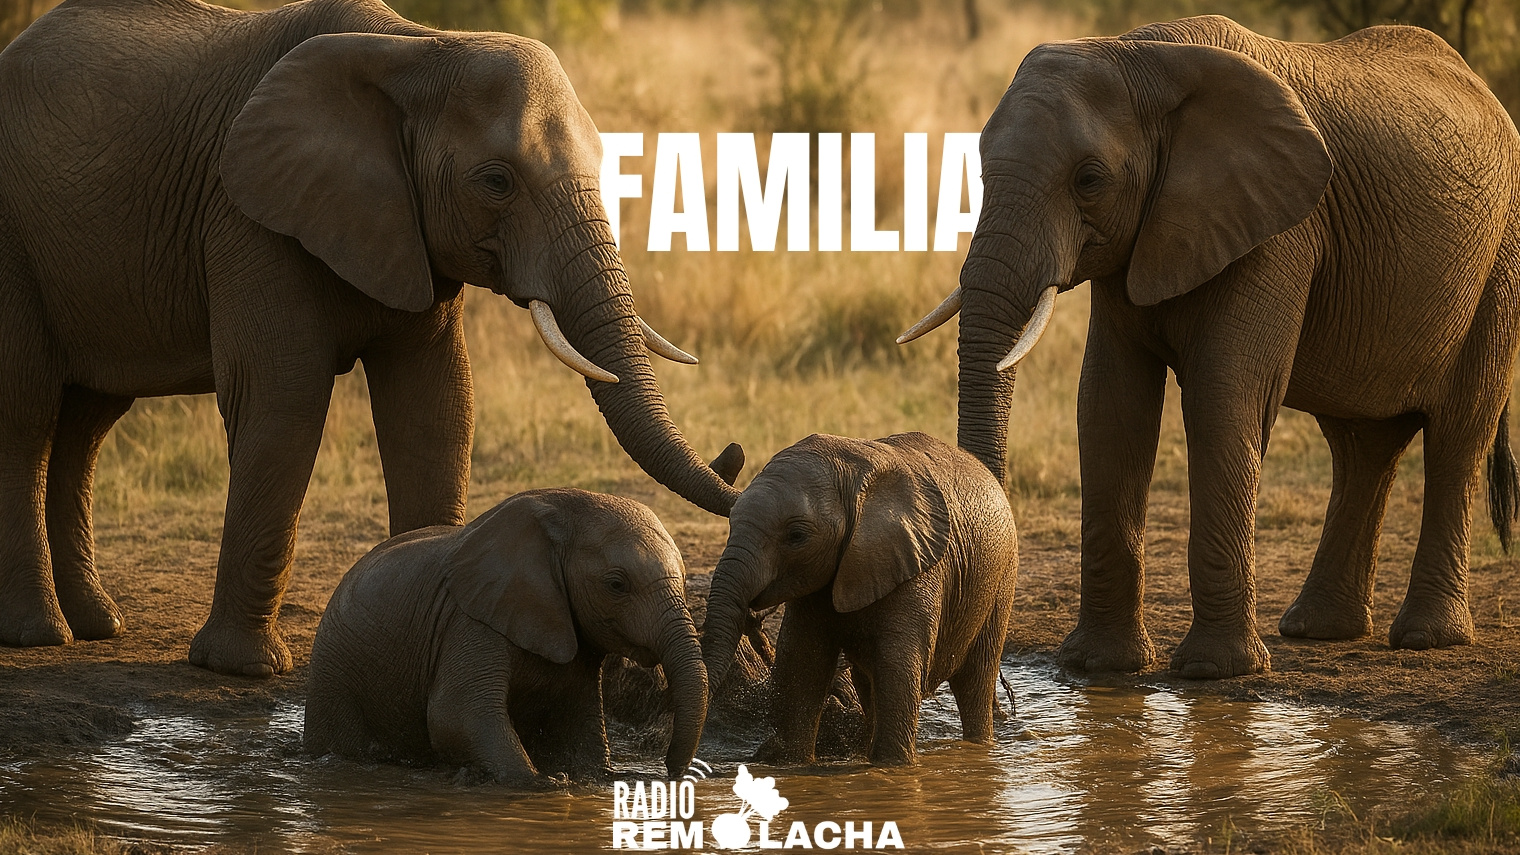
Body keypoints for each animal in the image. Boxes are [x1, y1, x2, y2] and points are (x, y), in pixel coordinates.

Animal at [0, 0, 741, 676]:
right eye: (496, 182)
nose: (735, 456)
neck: (420, 48)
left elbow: (435, 408)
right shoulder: (248, 216)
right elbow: (284, 402)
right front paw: (244, 669)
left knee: (87, 423)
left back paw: (97, 625)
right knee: (30, 413)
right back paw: (40, 636)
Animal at [304, 488, 707, 783]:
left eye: (686, 578)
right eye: (616, 585)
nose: (673, 774)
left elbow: (580, 726)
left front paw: (600, 777)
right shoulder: (471, 621)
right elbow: (456, 715)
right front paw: (546, 783)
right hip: (334, 680)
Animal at [700, 432, 1018, 766]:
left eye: (796, 536)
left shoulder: (919, 565)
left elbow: (897, 663)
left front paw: (894, 768)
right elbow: (803, 659)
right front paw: (790, 763)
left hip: (1001, 580)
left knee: (975, 680)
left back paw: (979, 747)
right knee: (869, 683)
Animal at [898, 15, 1520, 677]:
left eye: (1089, 181)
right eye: (980, 172)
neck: (1145, 55)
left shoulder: (1281, 230)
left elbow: (1223, 397)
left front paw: (1215, 672)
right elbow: (1110, 405)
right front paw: (1099, 666)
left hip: (1501, 263)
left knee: (1459, 433)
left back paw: (1427, 638)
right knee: (1362, 445)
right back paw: (1318, 630)